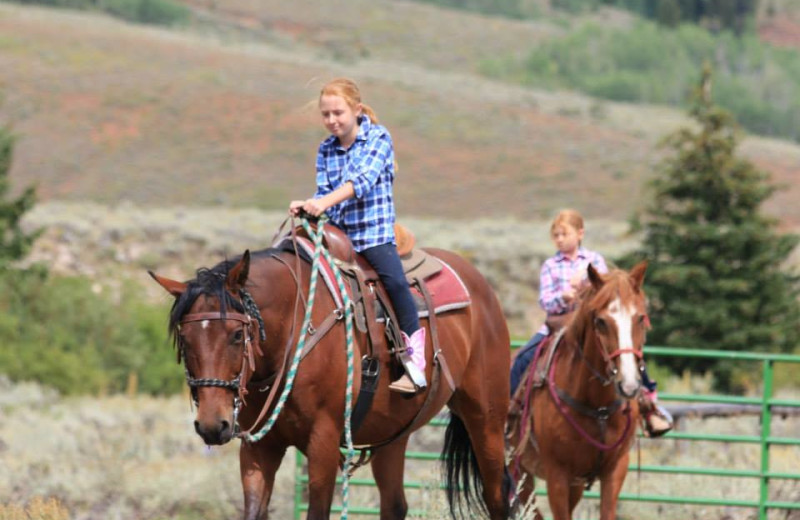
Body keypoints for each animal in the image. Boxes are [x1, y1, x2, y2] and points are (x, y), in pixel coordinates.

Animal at [149, 222, 510, 520]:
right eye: (184, 339)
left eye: (237, 335)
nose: (212, 425)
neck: (293, 332)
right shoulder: (258, 447)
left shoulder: (323, 441)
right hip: (393, 436)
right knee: (395, 505)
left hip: (486, 419)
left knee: (497, 496)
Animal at [510, 262, 648, 520]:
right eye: (601, 321)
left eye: (641, 318)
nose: (629, 385)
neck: (598, 407)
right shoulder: (557, 476)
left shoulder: (615, 470)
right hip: (517, 467)